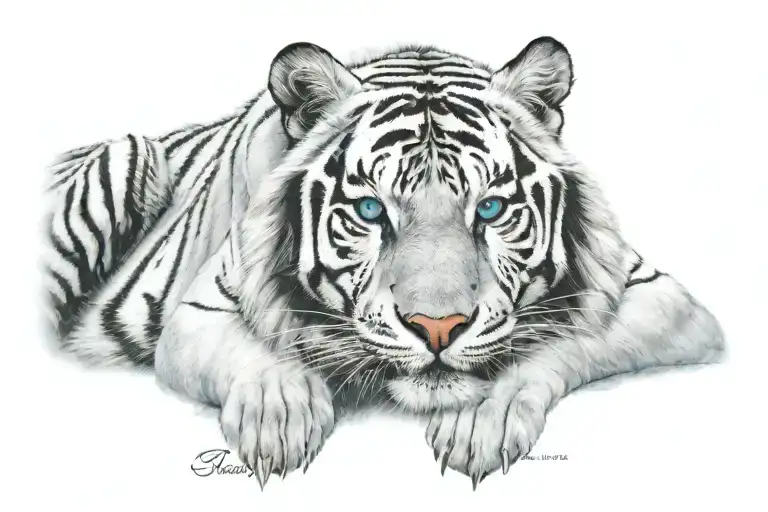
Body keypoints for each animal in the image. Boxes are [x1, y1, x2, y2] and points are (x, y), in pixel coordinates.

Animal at [42, 36, 726, 489]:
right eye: (371, 210)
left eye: (490, 208)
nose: (437, 328)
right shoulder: (201, 309)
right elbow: (261, 359)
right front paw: (278, 418)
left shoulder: (659, 296)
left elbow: (554, 342)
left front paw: (479, 417)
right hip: (129, 156)